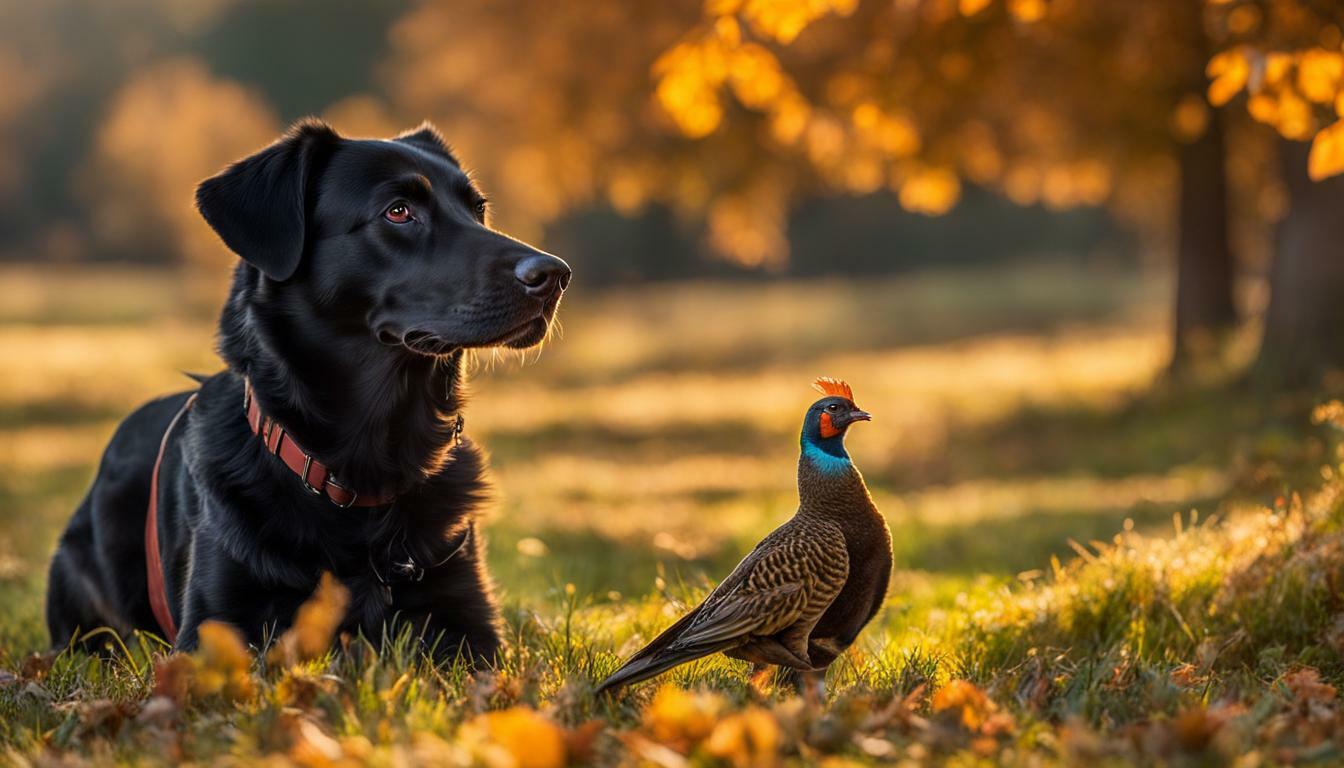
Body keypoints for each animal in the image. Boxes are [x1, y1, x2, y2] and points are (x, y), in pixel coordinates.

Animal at [44, 119, 569, 661]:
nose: (554, 275)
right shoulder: (212, 634)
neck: (366, 463)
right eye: (398, 211)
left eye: (477, 210)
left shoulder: (471, 627)